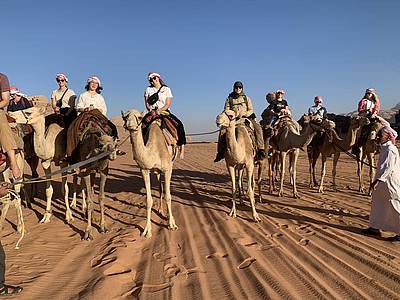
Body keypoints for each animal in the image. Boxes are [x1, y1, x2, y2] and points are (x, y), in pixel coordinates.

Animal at [121, 109, 179, 238]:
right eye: (125, 117)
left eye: (139, 117)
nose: (129, 124)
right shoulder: (144, 169)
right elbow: (149, 201)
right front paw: (147, 231)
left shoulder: (167, 169)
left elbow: (168, 196)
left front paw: (171, 224)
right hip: (157, 171)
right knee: (160, 188)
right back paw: (161, 210)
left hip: (171, 163)